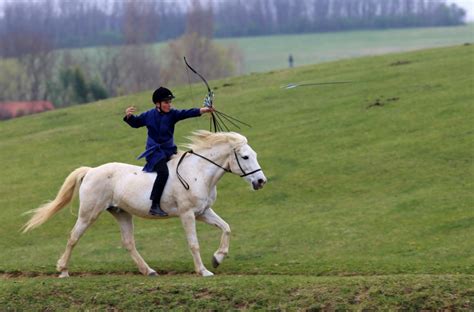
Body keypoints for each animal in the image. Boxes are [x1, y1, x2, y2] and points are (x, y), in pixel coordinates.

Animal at [23, 130, 266, 276]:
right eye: (245, 157)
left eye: (254, 154)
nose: (261, 181)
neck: (198, 172)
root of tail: (91, 171)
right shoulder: (187, 214)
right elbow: (194, 244)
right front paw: (204, 271)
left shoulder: (203, 212)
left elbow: (226, 228)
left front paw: (217, 258)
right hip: (89, 214)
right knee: (73, 237)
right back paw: (63, 270)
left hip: (121, 213)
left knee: (128, 243)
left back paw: (148, 270)